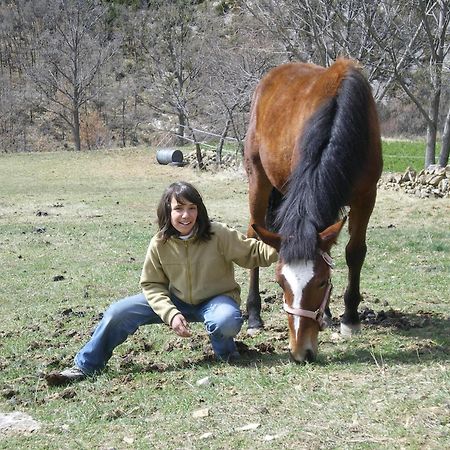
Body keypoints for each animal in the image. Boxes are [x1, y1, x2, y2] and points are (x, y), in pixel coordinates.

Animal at [244, 59, 382, 362]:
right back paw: (254, 315)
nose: (300, 351)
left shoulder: (366, 197)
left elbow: (354, 252)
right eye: (281, 283)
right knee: (253, 235)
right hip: (258, 180)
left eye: (321, 282)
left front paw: (349, 318)